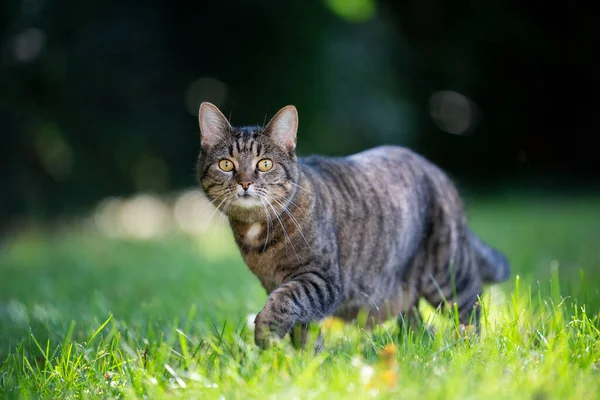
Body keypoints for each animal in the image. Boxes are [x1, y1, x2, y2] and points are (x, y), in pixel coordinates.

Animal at [195, 102, 508, 350]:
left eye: (264, 164)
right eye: (226, 164)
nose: (245, 183)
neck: (258, 235)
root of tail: (435, 169)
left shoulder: (320, 279)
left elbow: (285, 301)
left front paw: (267, 336)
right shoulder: (280, 284)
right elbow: (301, 326)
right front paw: (303, 362)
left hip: (449, 273)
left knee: (472, 307)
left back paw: (468, 347)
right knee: (417, 321)